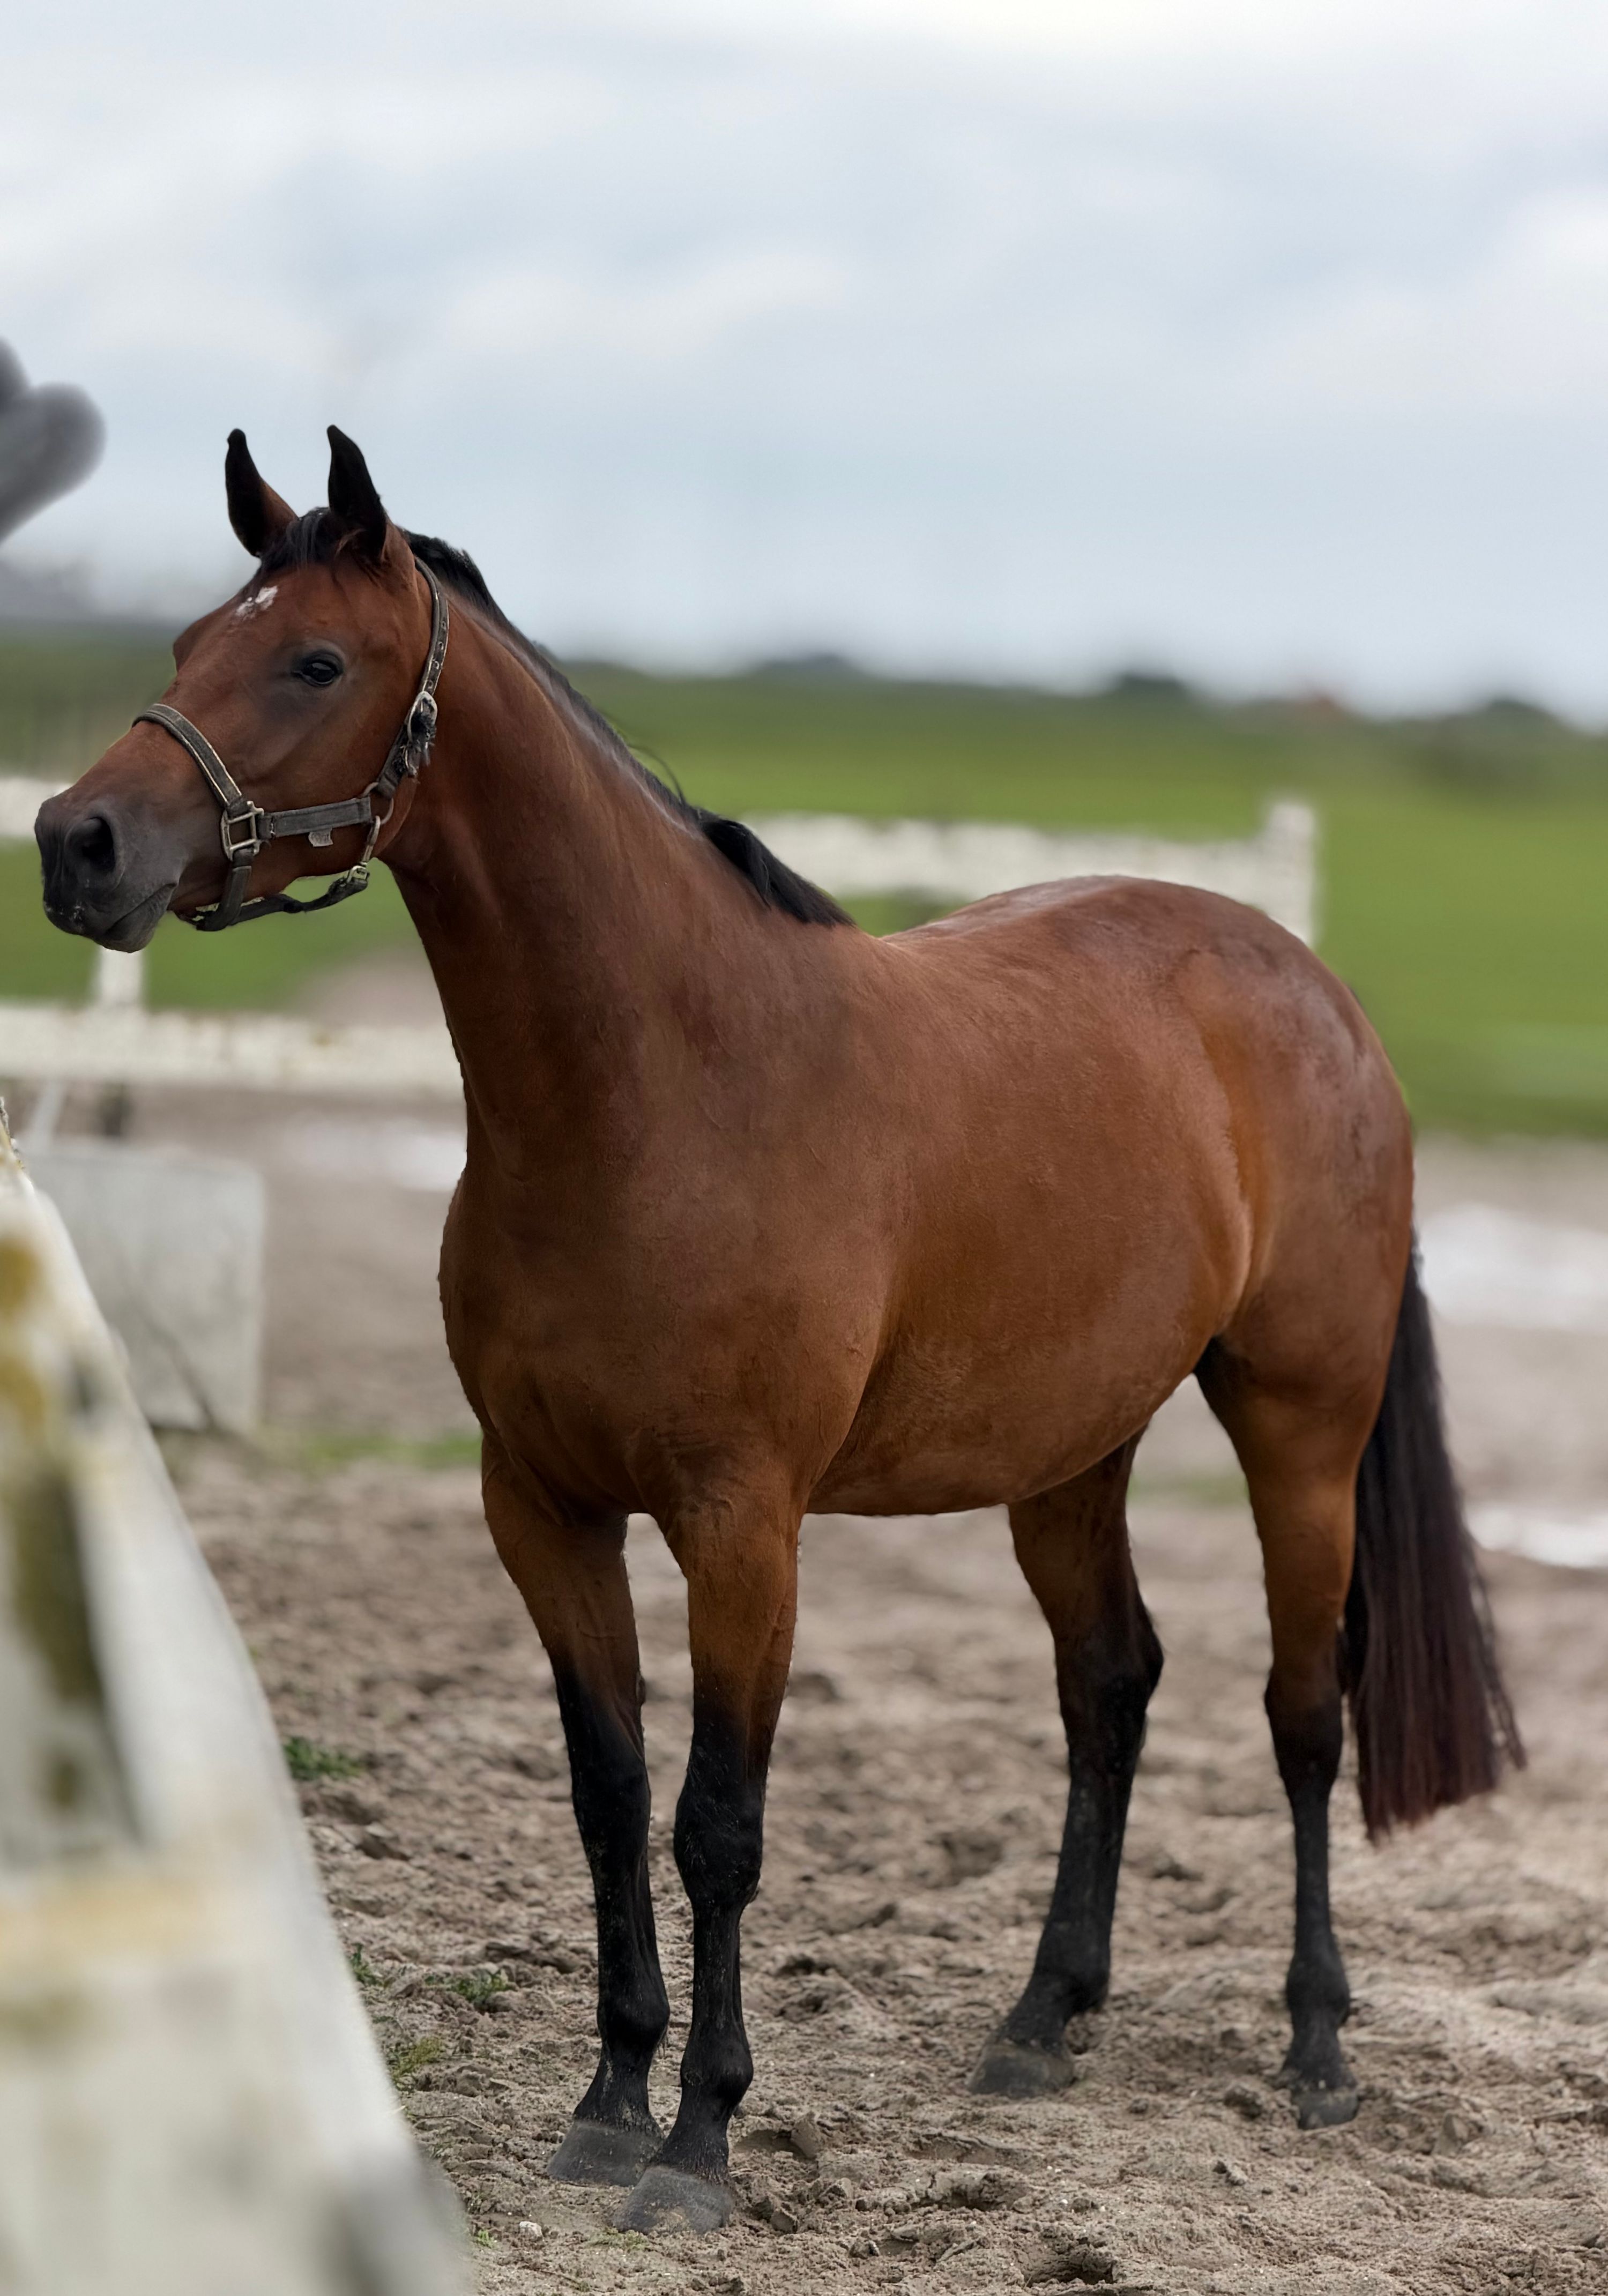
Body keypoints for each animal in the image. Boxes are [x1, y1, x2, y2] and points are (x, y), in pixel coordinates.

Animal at [36, 428, 1522, 2235]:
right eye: (192, 641)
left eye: (313, 661)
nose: (76, 841)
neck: (662, 1092)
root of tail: (1307, 987)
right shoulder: (542, 1506)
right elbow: (608, 1795)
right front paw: (610, 2099)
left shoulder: (744, 1525)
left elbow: (718, 1822)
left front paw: (698, 2141)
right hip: (1066, 1455)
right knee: (1110, 1683)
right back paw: (1042, 2021)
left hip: (1298, 1426)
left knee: (1304, 1713)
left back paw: (1316, 2051)